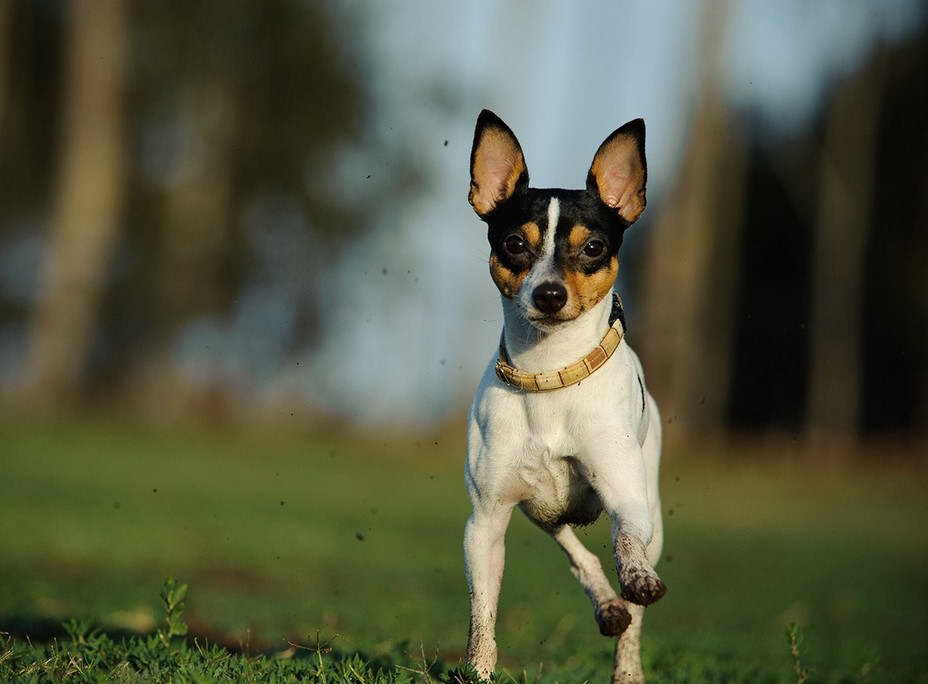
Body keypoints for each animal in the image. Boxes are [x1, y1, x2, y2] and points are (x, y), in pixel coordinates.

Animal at [468, 109, 664, 680]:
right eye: (514, 243)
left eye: (594, 247)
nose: (549, 294)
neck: (549, 377)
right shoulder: (485, 522)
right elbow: (482, 616)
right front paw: (479, 672)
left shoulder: (626, 497)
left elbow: (626, 543)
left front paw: (635, 581)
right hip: (542, 511)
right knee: (578, 552)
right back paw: (607, 605)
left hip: (650, 503)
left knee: (631, 597)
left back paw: (627, 662)